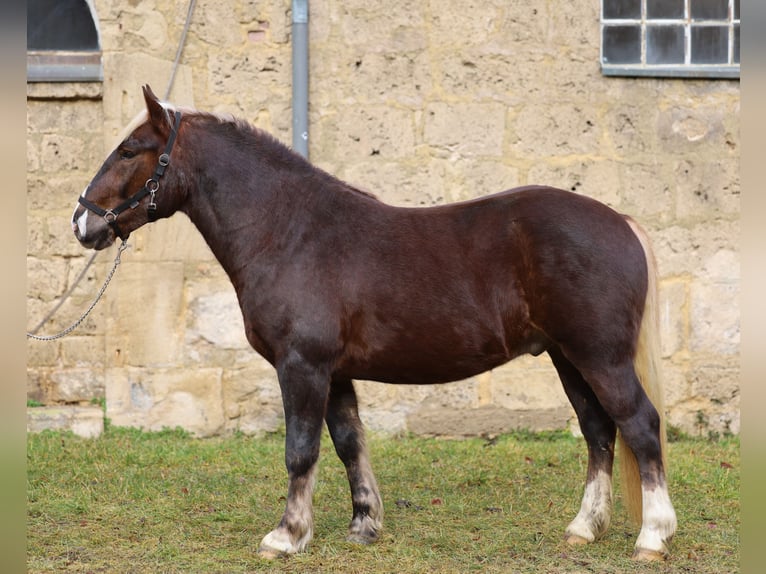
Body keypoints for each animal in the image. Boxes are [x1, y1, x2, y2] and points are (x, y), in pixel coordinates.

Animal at [72, 85, 677, 561]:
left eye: (129, 150)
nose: (82, 221)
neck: (289, 231)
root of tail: (621, 221)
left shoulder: (303, 366)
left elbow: (301, 449)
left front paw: (286, 536)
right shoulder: (335, 372)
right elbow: (348, 443)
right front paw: (364, 525)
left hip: (601, 358)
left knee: (640, 425)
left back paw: (652, 536)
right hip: (567, 357)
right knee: (599, 432)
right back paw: (584, 529)